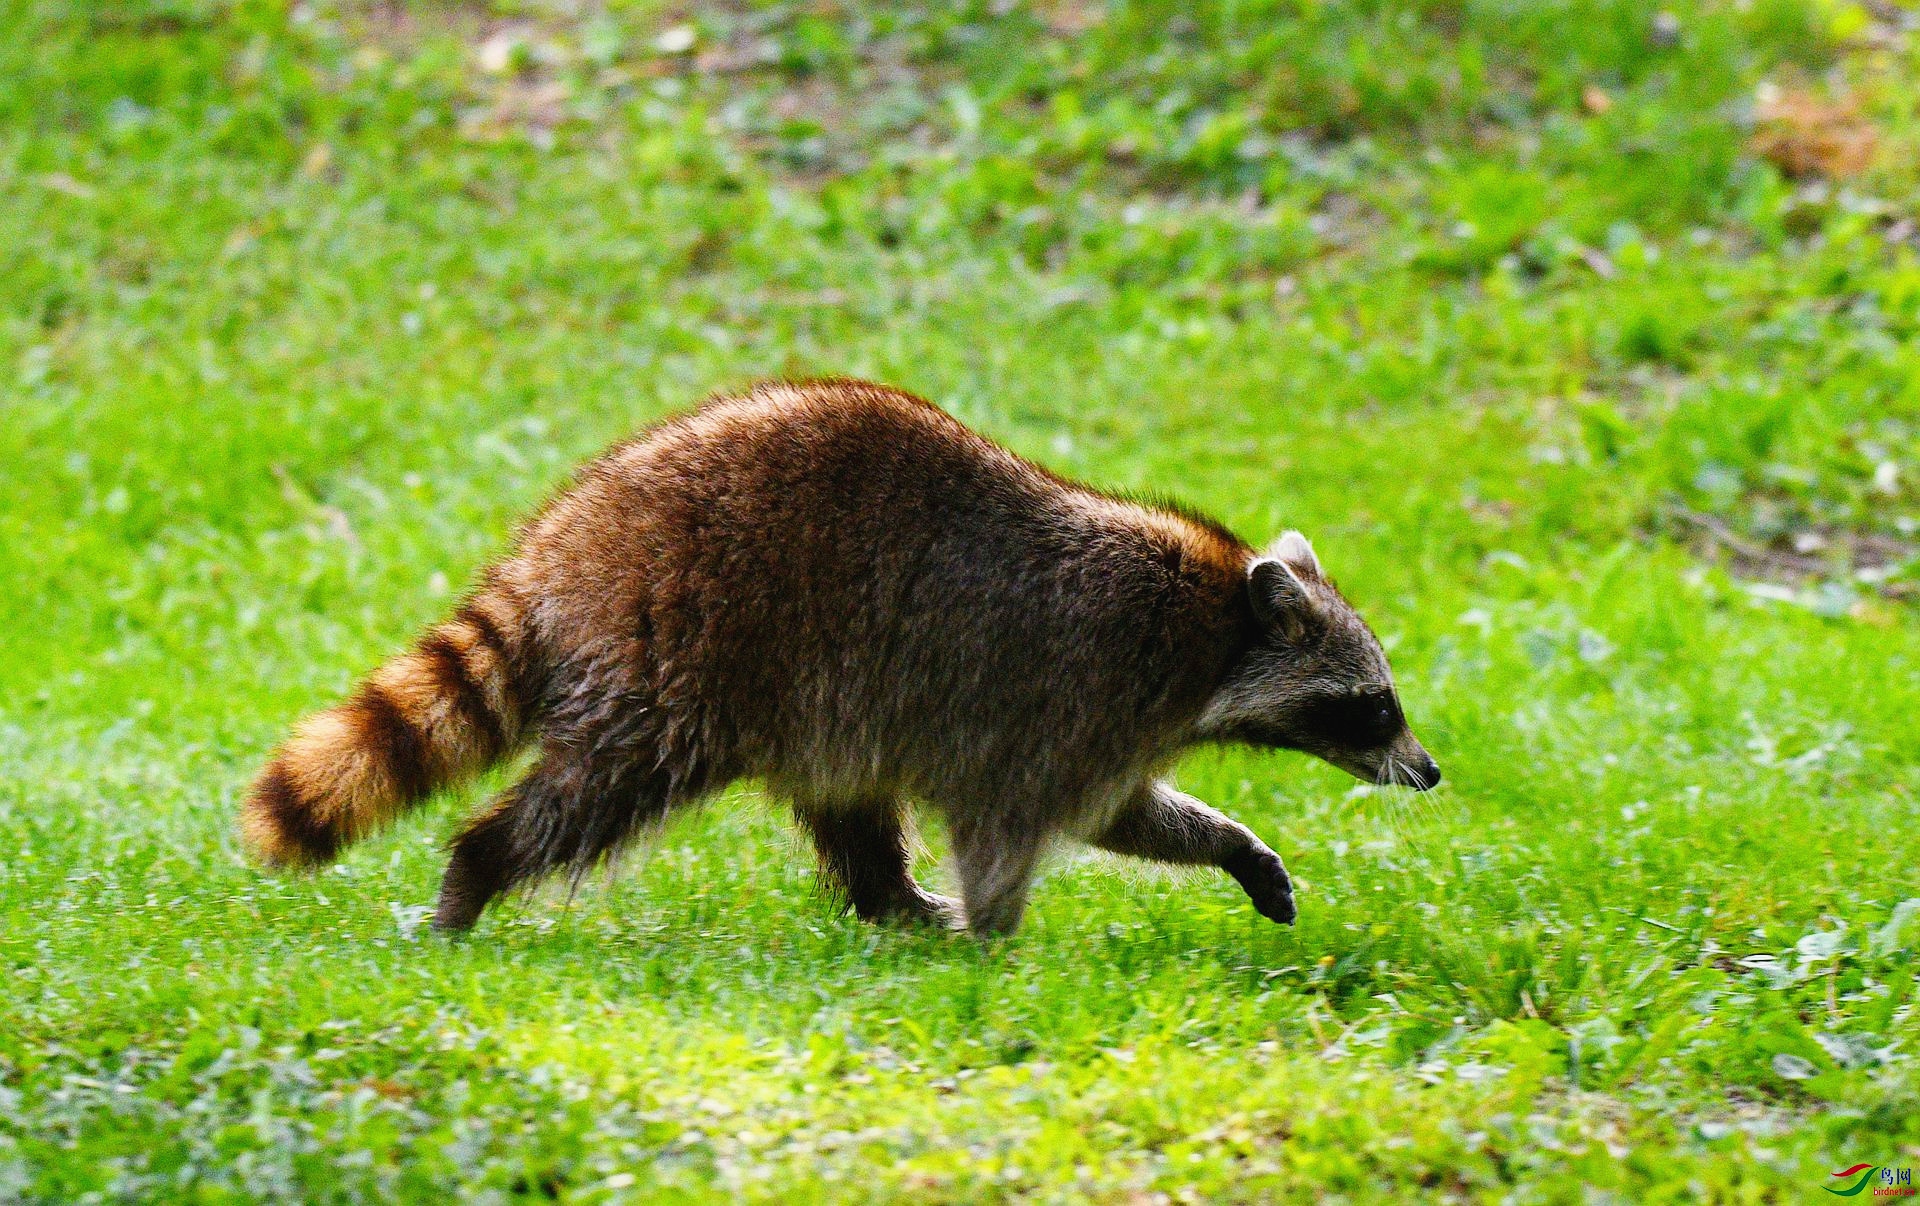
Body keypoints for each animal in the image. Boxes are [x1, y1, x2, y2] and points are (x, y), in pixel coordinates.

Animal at [240, 382, 1436, 937]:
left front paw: (1236, 847)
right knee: (592, 795)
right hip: (684, 651)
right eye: (1374, 707)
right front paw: (1001, 941)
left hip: (822, 691)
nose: (1429, 772)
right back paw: (478, 869)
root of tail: (568, 537)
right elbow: (1022, 823)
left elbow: (1125, 816)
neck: (1217, 617)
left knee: (850, 803)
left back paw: (892, 900)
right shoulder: (1073, 688)